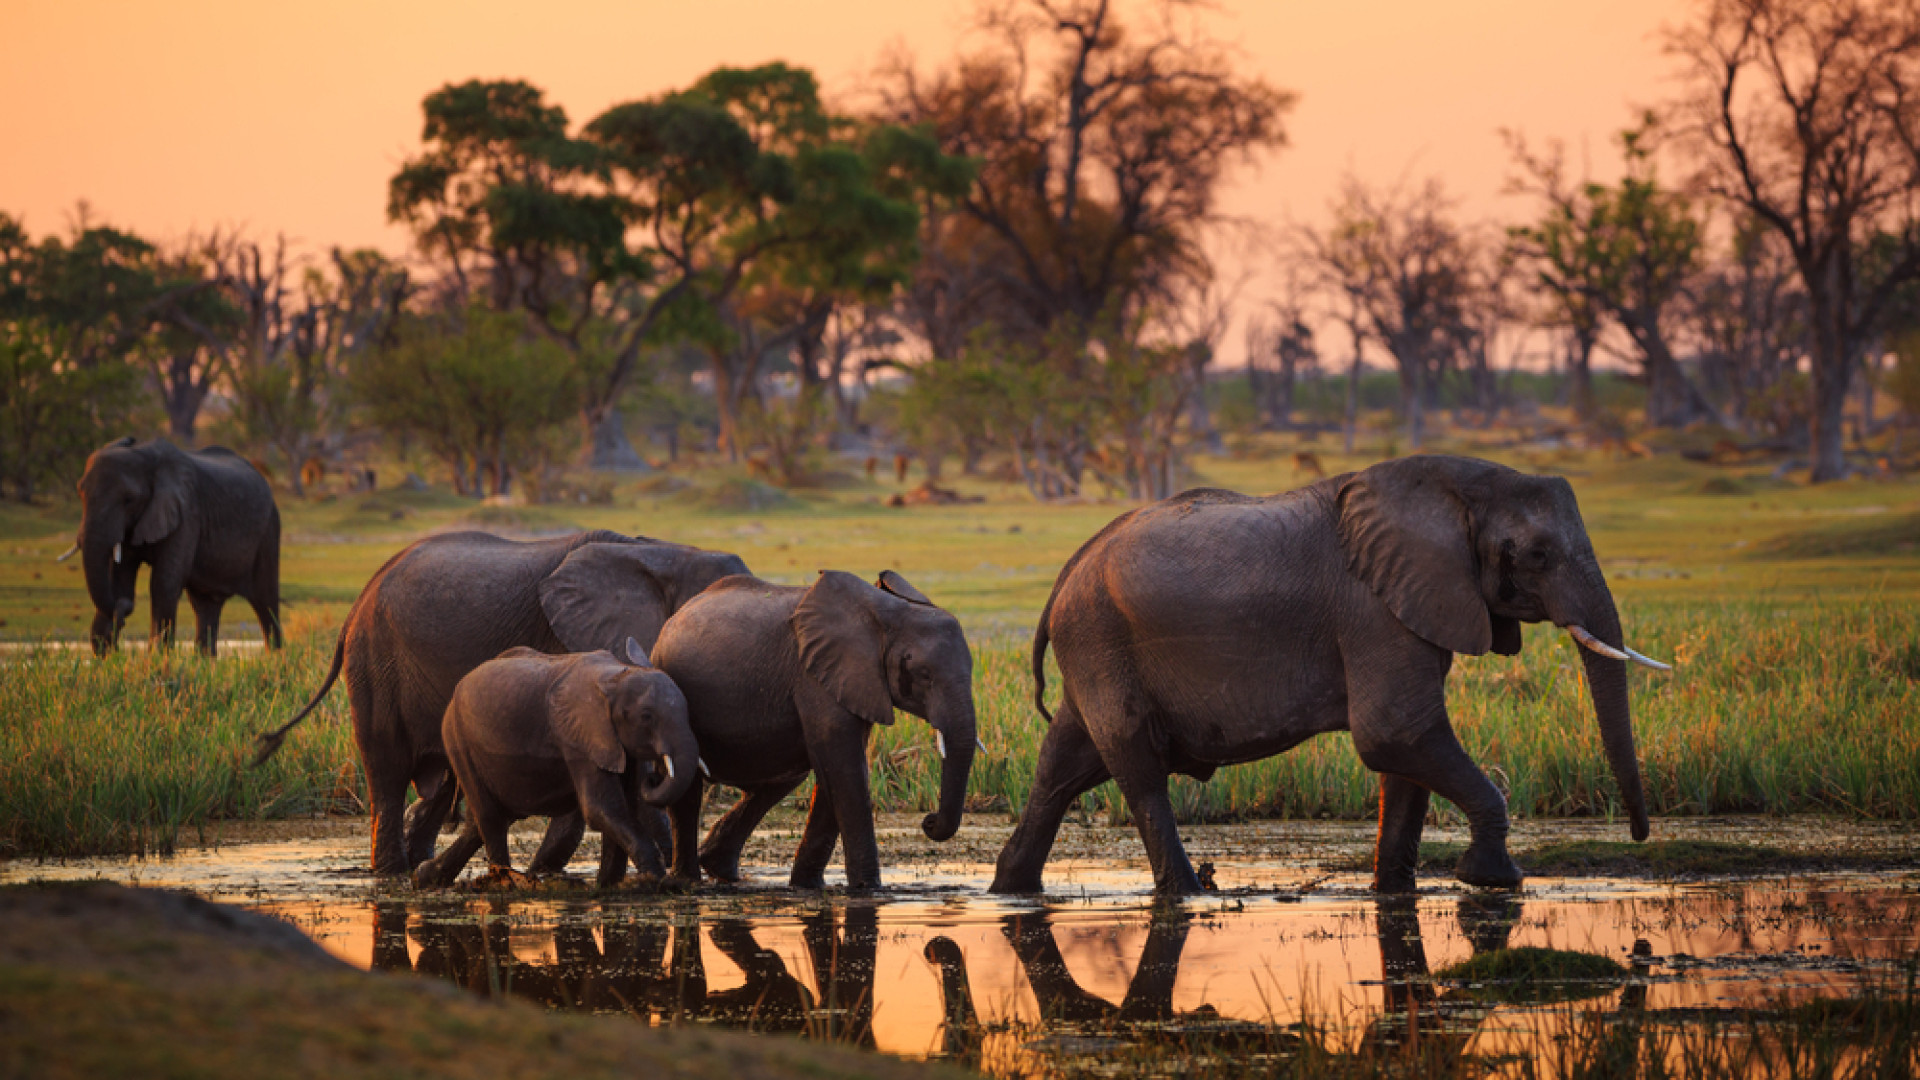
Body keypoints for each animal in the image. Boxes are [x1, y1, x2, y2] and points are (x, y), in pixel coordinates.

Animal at [60, 434, 280, 657]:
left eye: (129, 499)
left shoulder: (186, 513)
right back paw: (205, 661)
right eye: (80, 493)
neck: (144, 454)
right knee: (206, 605)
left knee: (266, 603)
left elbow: (164, 583)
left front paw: (158, 658)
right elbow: (120, 579)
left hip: (269, 531)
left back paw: (275, 659)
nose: (123, 612)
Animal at [412, 634, 698, 887]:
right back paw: (502, 882)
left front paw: (610, 885)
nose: (655, 776)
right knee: (490, 817)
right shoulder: (577, 738)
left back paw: (424, 877)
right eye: (647, 716)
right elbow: (601, 808)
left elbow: (624, 806)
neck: (617, 675)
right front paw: (655, 880)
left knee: (483, 822)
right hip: (457, 739)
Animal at [656, 568, 983, 887]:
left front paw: (808, 887)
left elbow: (836, 769)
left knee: (783, 778)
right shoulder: (814, 675)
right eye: (924, 674)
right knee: (688, 788)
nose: (928, 820)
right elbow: (844, 767)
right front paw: (870, 890)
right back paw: (687, 880)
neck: (887, 613)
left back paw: (719, 869)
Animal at [990, 451, 1666, 891]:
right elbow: (1396, 732)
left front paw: (1394, 891)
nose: (1638, 834)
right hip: (1100, 641)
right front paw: (1493, 880)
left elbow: (1405, 757)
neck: (1455, 489)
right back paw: (1190, 893)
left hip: (1094, 650)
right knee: (1139, 773)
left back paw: (1011, 889)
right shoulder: (1372, 609)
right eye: (1537, 555)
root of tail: (1067, 571)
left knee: (1061, 768)